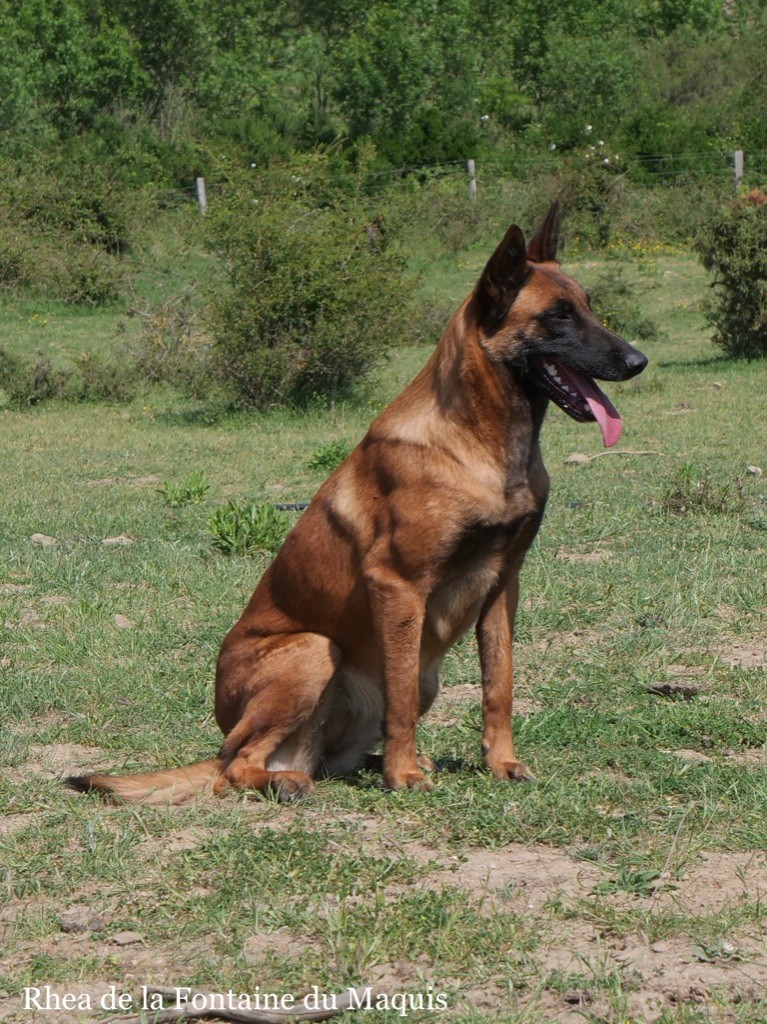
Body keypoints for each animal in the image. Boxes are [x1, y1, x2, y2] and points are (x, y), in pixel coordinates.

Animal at [70, 199, 647, 802]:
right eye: (558, 316)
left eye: (588, 308)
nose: (638, 361)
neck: (481, 446)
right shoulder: (397, 586)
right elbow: (401, 699)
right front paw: (404, 774)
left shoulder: (502, 585)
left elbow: (499, 685)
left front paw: (500, 762)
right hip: (312, 649)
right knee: (233, 765)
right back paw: (291, 781)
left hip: (407, 676)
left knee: (330, 757)